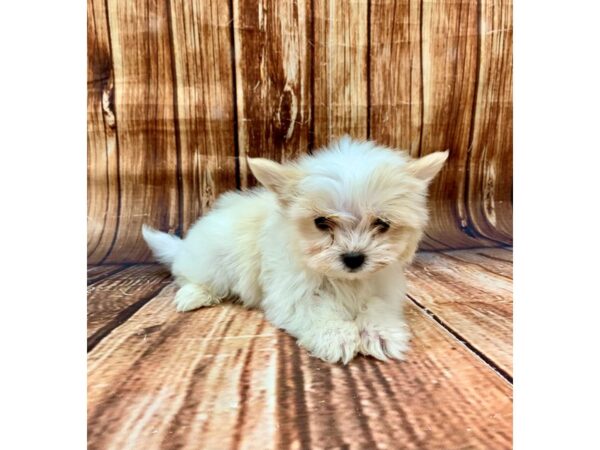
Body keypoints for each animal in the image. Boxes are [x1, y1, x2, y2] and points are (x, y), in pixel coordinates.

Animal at [143, 135, 448, 364]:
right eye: (321, 222)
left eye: (382, 224)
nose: (354, 258)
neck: (345, 281)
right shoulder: (289, 290)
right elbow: (312, 309)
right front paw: (336, 335)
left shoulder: (383, 285)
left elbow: (377, 305)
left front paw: (380, 333)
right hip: (211, 261)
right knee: (191, 276)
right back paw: (193, 294)